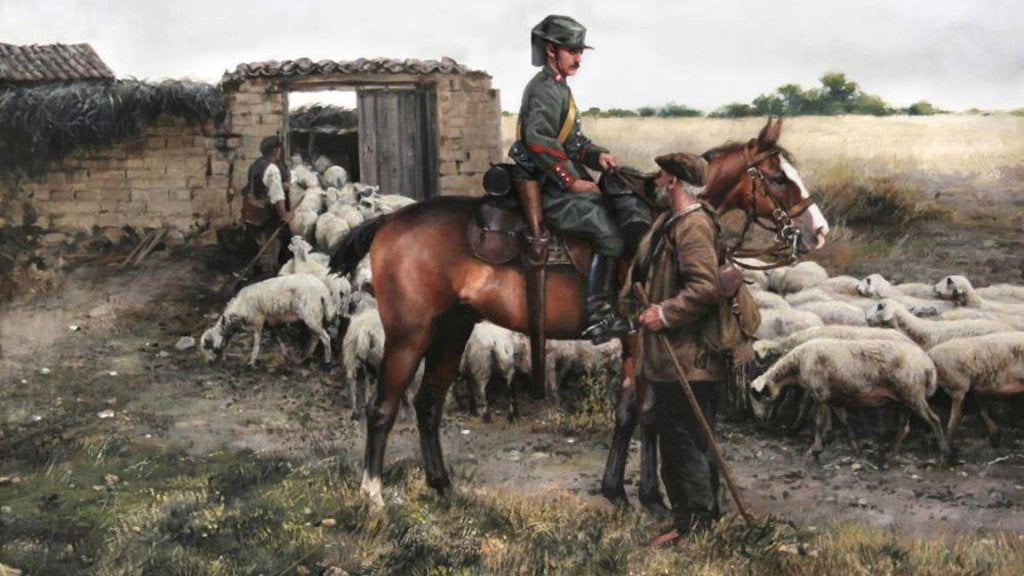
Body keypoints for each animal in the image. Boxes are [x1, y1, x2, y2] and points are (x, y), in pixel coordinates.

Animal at [201, 272, 337, 362]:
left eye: (208, 345)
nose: (210, 362)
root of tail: (323, 290)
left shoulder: (258, 321)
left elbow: (257, 342)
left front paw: (251, 362)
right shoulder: (270, 323)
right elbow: (277, 338)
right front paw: (285, 355)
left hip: (311, 314)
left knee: (325, 338)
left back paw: (326, 362)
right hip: (315, 315)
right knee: (316, 337)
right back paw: (305, 357)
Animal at [331, 116, 827, 502]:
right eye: (779, 178)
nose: (819, 231)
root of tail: (390, 221)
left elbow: (641, 415)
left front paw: (633, 490)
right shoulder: (639, 339)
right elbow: (637, 414)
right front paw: (633, 494)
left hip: (453, 330)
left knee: (428, 404)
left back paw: (442, 485)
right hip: (408, 335)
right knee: (382, 408)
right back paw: (373, 495)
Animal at [749, 338, 946, 459]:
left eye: (758, 397)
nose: (758, 418)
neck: (798, 364)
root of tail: (929, 366)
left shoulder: (820, 394)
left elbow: (818, 422)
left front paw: (816, 449)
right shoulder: (835, 398)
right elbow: (844, 421)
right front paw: (854, 445)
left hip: (913, 395)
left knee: (935, 420)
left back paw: (944, 452)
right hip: (903, 400)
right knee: (904, 428)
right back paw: (891, 455)